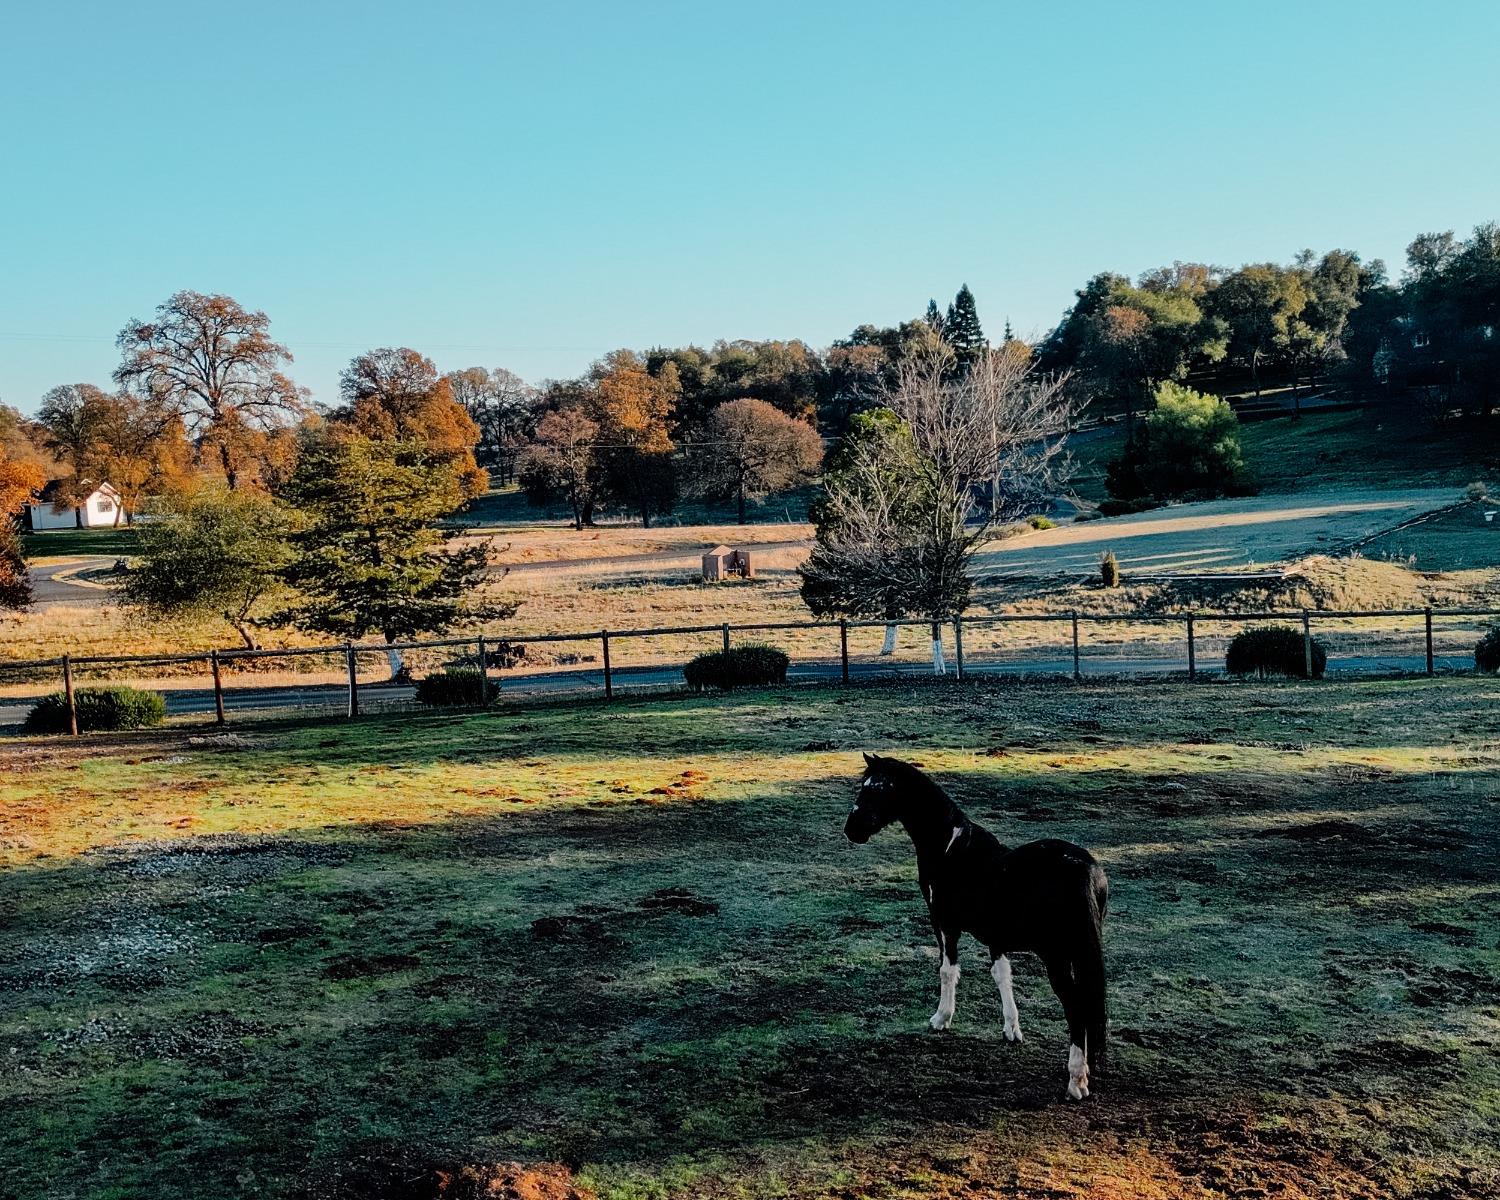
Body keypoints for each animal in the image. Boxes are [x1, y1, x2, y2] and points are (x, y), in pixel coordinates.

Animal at [852, 756, 1110, 1104]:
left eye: (878, 788)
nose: (851, 829)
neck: (949, 847)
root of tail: (1083, 868)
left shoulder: (944, 924)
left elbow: (948, 970)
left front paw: (941, 1019)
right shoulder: (996, 936)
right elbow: (1002, 975)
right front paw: (1011, 1029)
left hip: (1057, 957)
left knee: (1076, 1008)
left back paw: (1076, 1080)